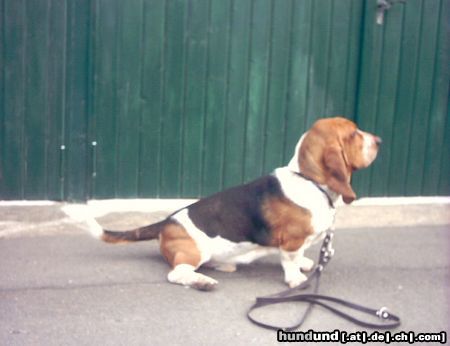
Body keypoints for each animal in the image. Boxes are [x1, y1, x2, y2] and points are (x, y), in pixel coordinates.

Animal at [76, 117, 380, 290]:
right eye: (353, 134)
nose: (378, 139)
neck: (309, 180)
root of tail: (165, 222)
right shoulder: (291, 242)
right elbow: (290, 261)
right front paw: (295, 279)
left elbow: (300, 256)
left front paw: (305, 263)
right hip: (195, 251)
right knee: (177, 274)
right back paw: (203, 282)